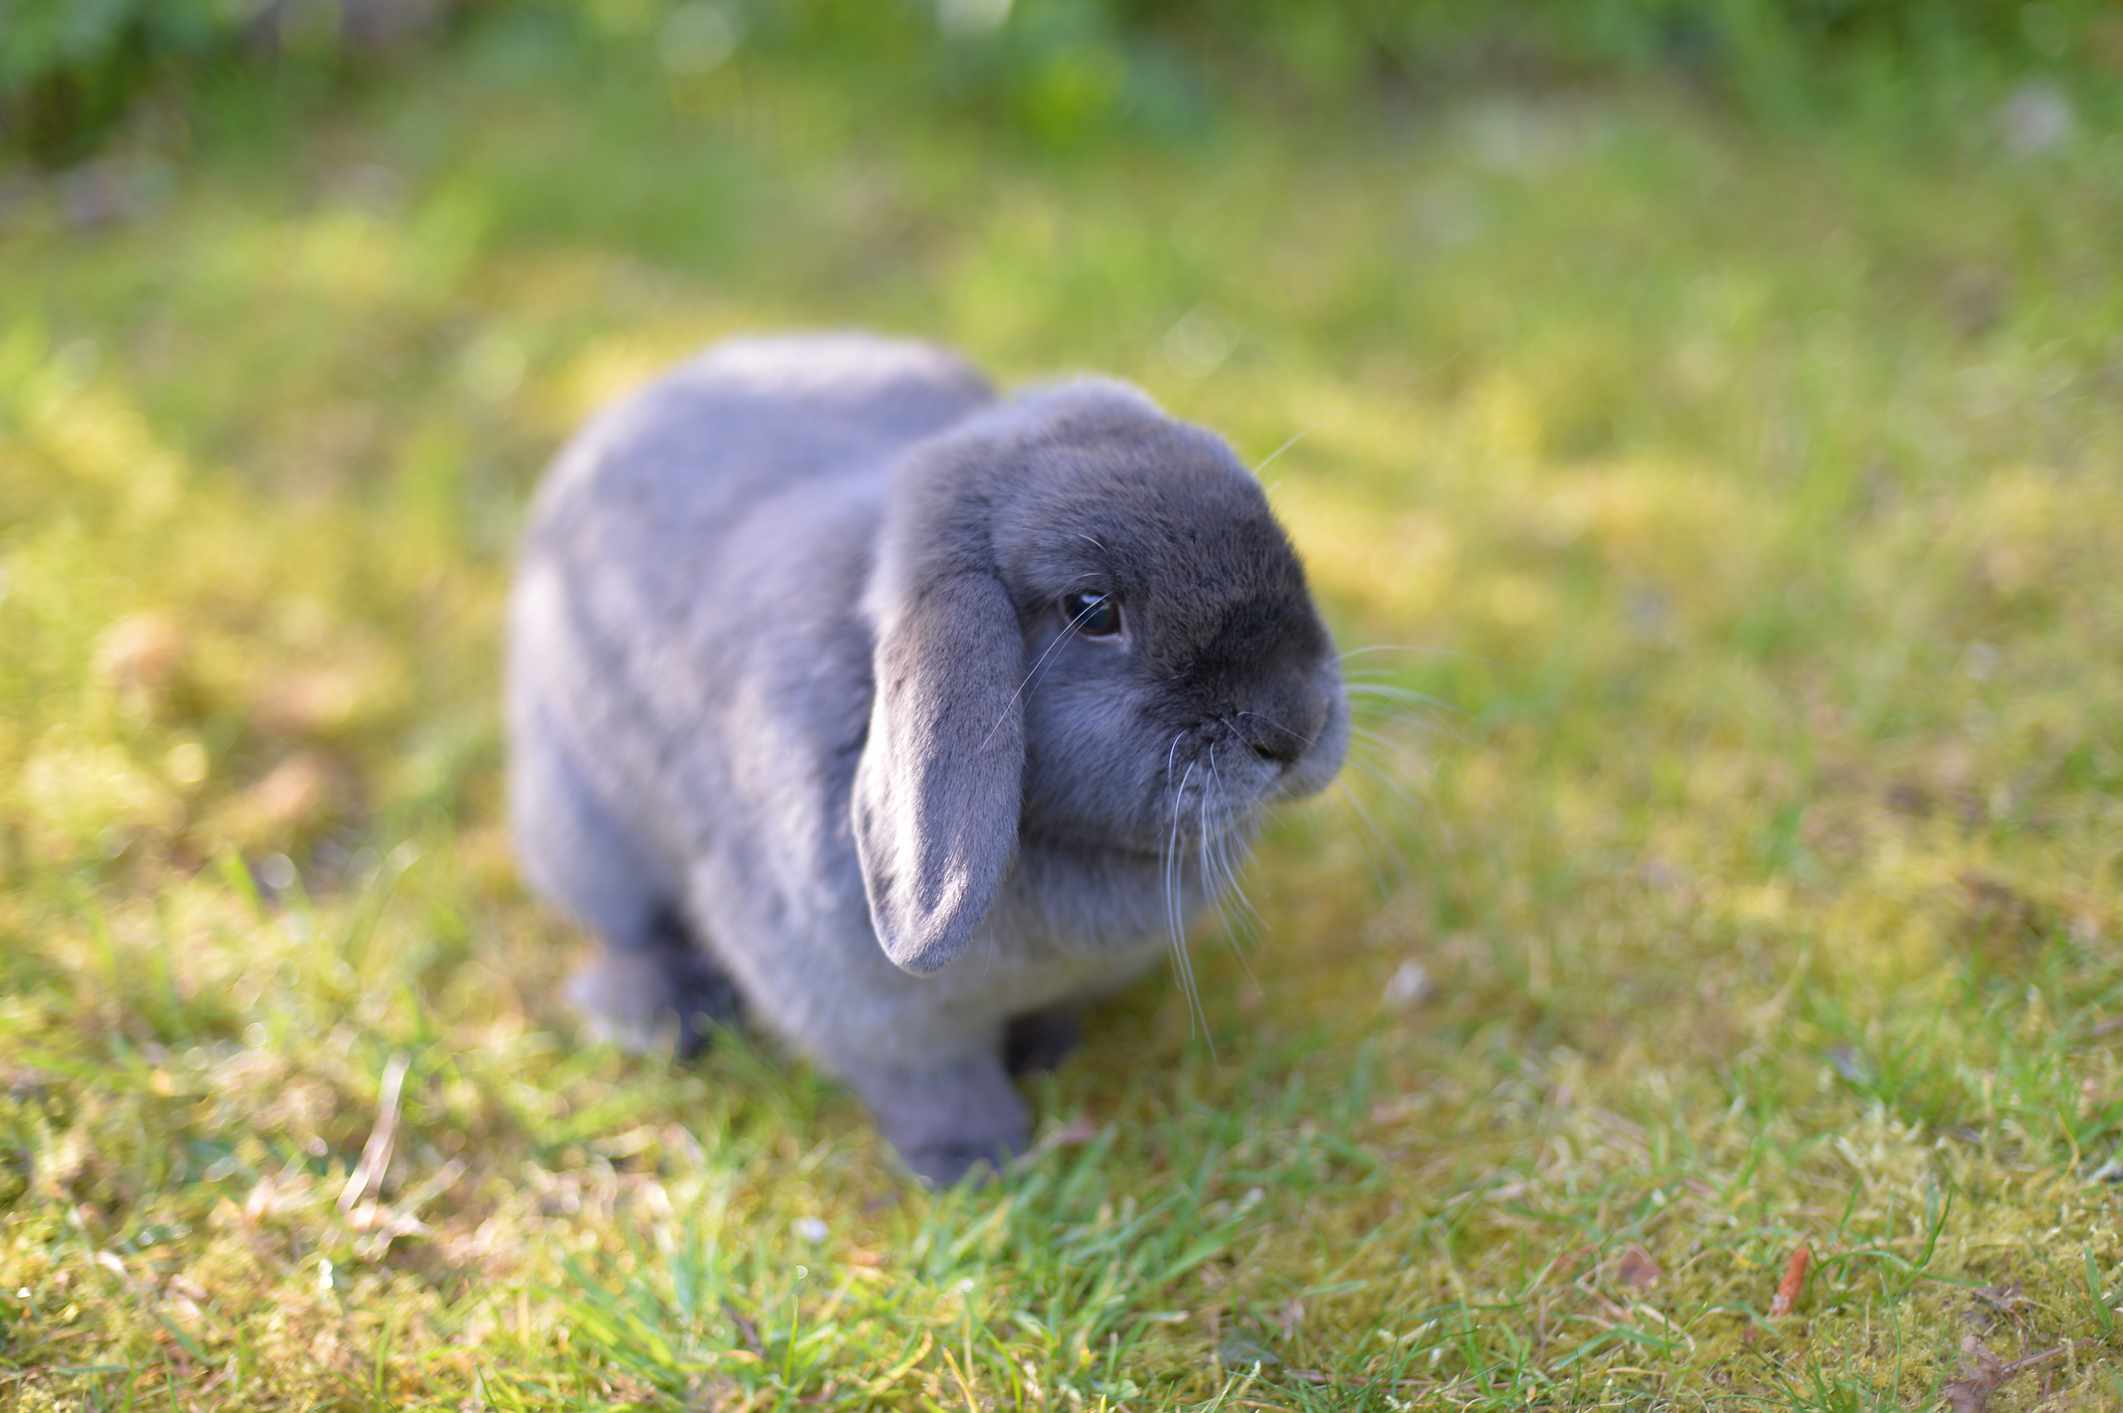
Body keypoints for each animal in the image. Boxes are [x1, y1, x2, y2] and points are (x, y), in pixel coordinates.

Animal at [505, 330, 1350, 1179]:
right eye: (1092, 610)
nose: (1294, 727)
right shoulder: (877, 1016)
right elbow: (934, 1080)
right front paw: (975, 1162)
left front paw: (1046, 1051)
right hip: (585, 833)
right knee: (631, 930)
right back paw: (656, 1015)